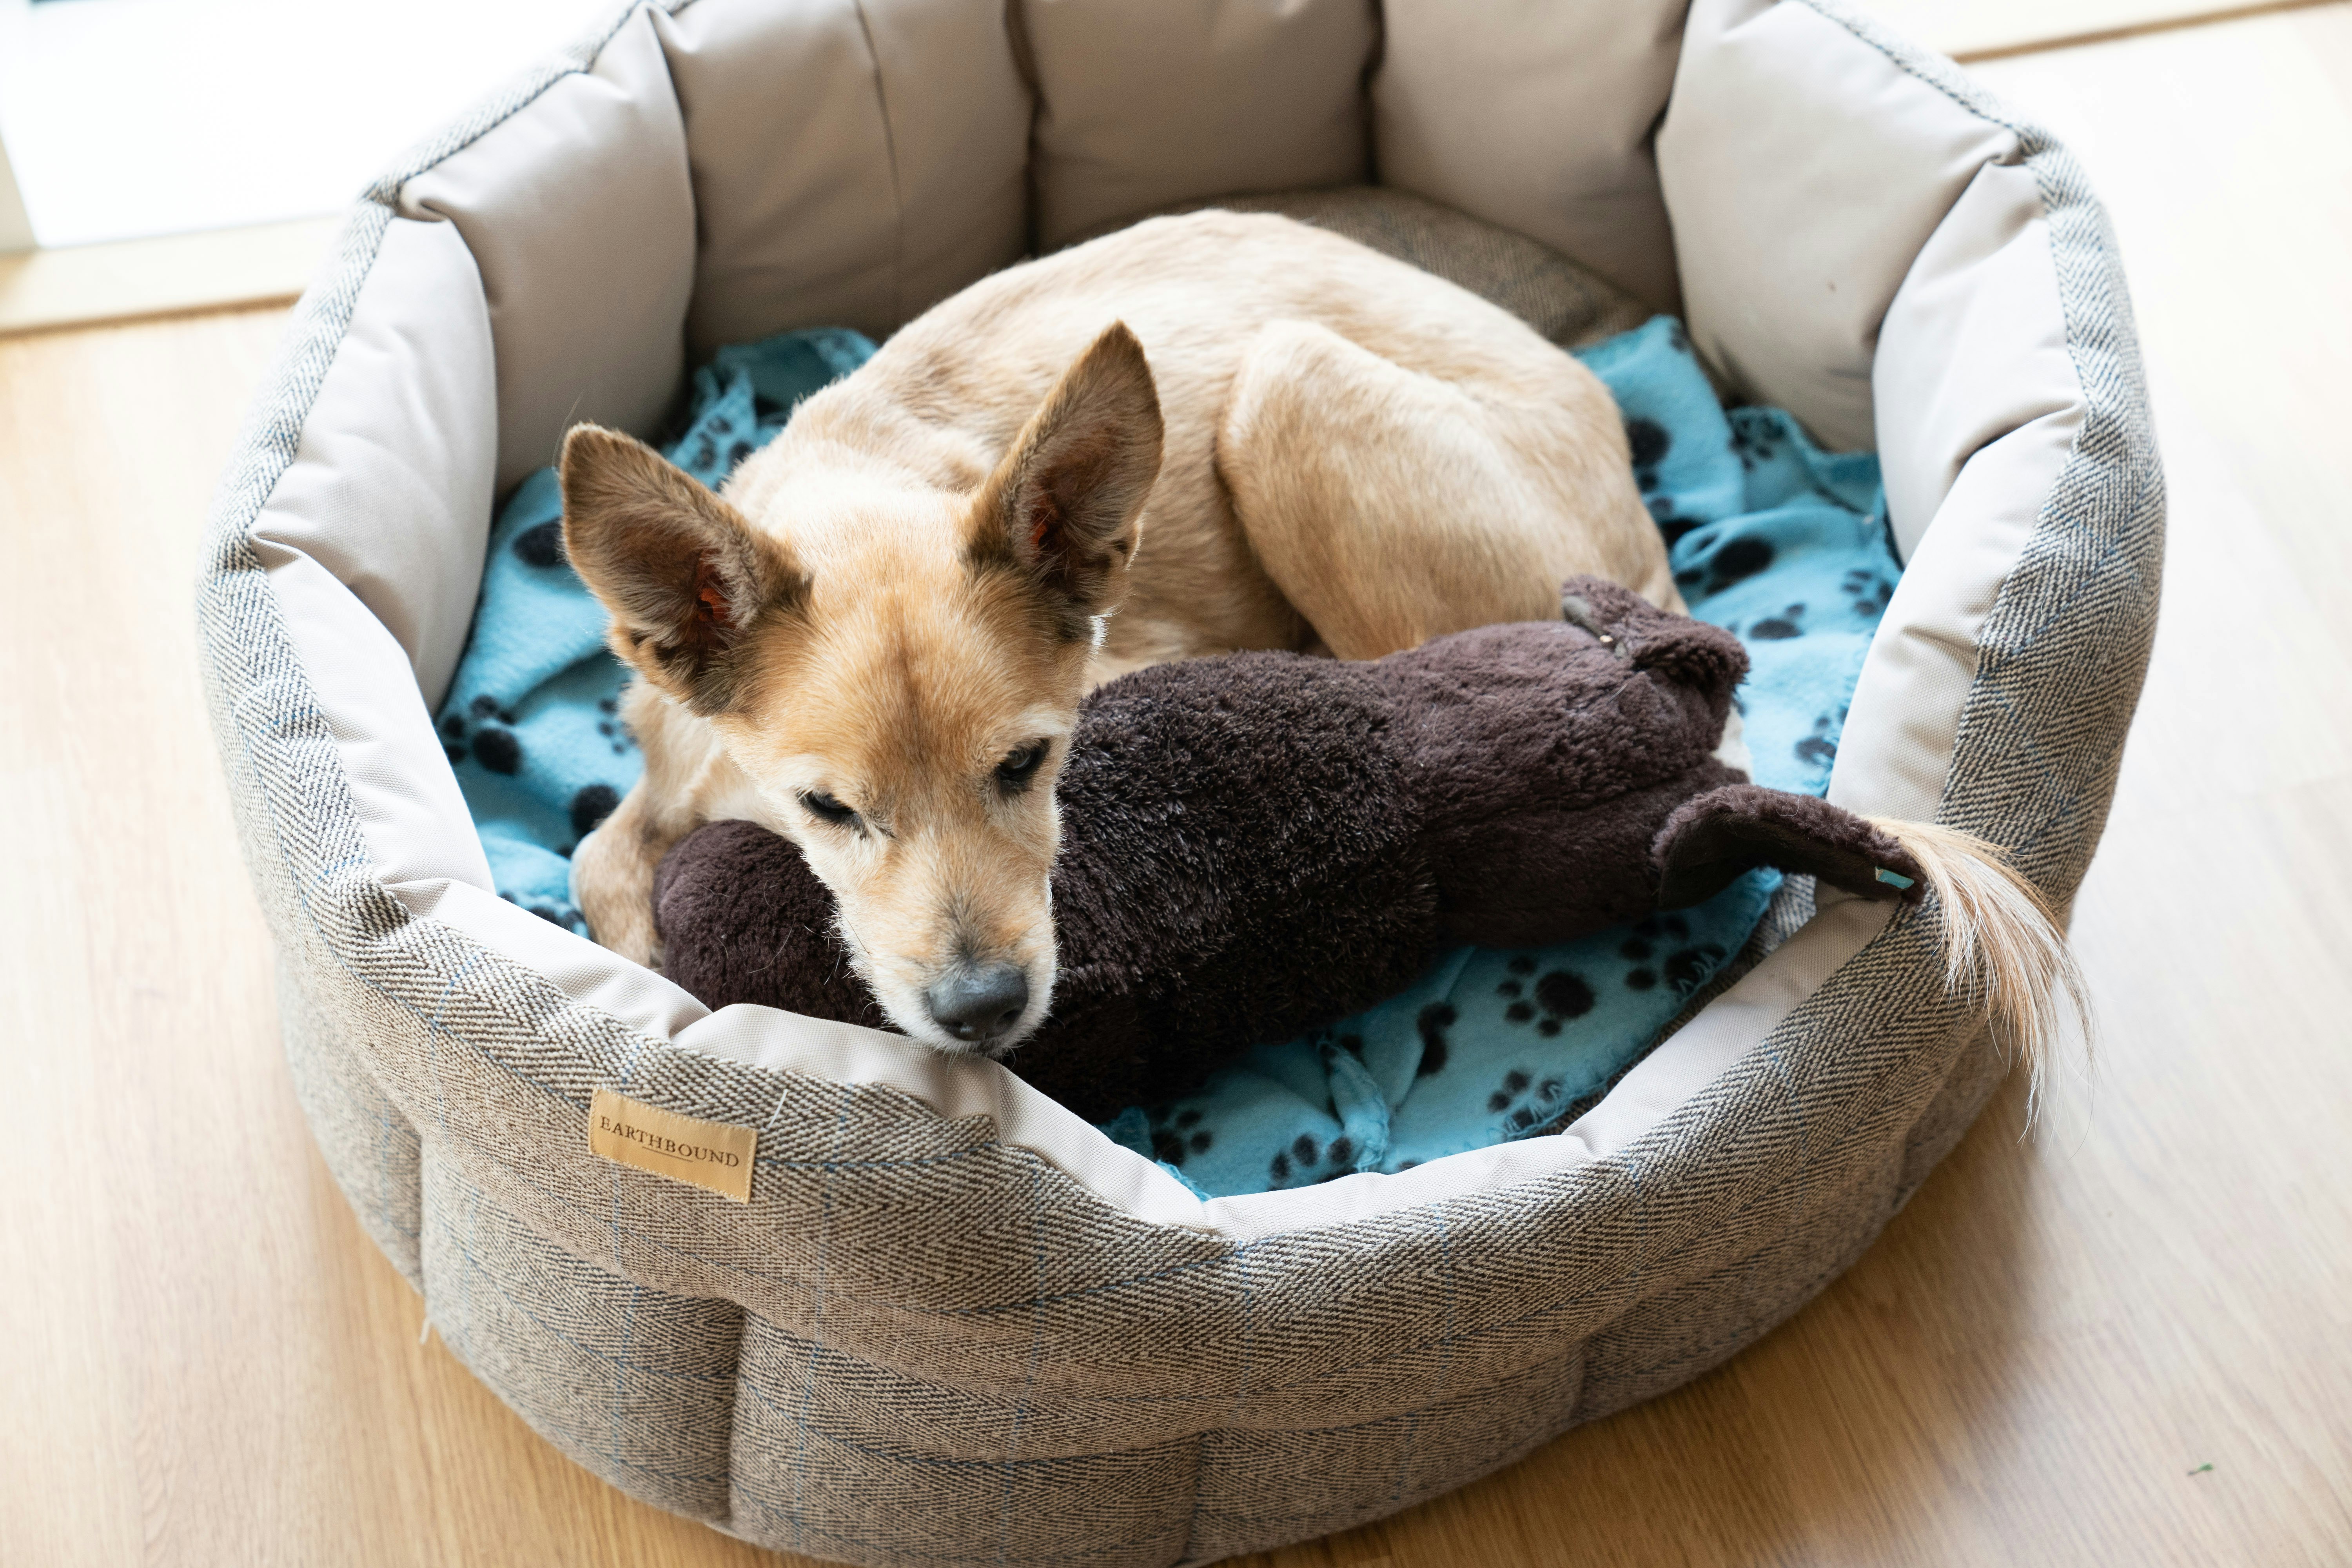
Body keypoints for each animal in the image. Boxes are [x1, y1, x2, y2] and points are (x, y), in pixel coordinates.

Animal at [562, 202, 1684, 1048]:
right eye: (828, 809)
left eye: (1027, 765)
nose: (983, 1011)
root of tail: (1642, 530)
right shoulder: (669, 758)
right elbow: (595, 856)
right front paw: (649, 965)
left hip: (1290, 383)